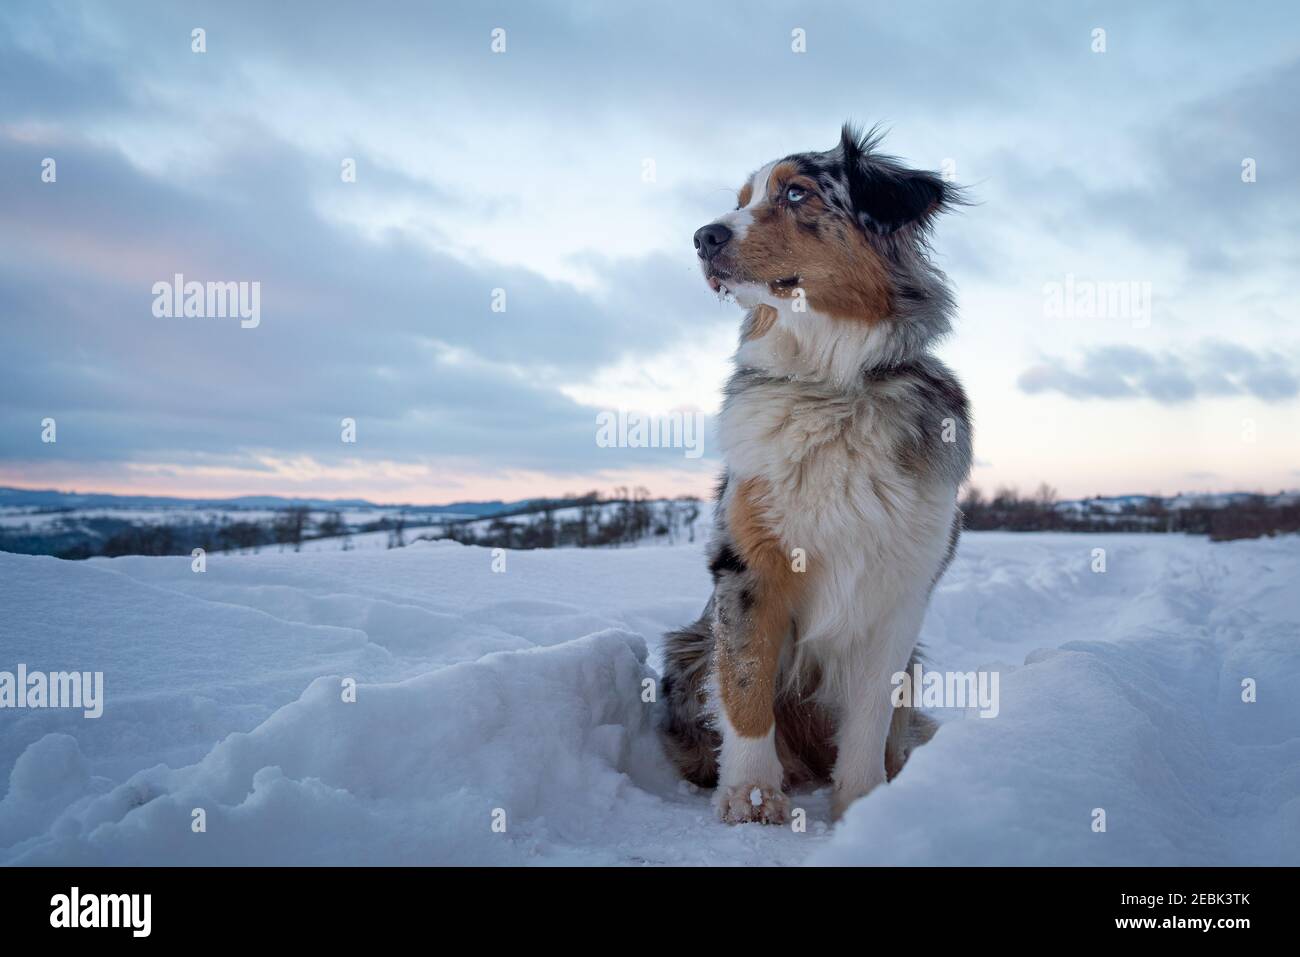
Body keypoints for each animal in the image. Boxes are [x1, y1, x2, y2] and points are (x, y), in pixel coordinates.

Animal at [665, 125, 972, 821]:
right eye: (742, 200)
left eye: (797, 192)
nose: (702, 237)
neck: (829, 385)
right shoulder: (748, 564)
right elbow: (746, 687)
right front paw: (751, 796)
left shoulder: (901, 586)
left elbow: (869, 712)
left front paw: (862, 802)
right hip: (687, 647)